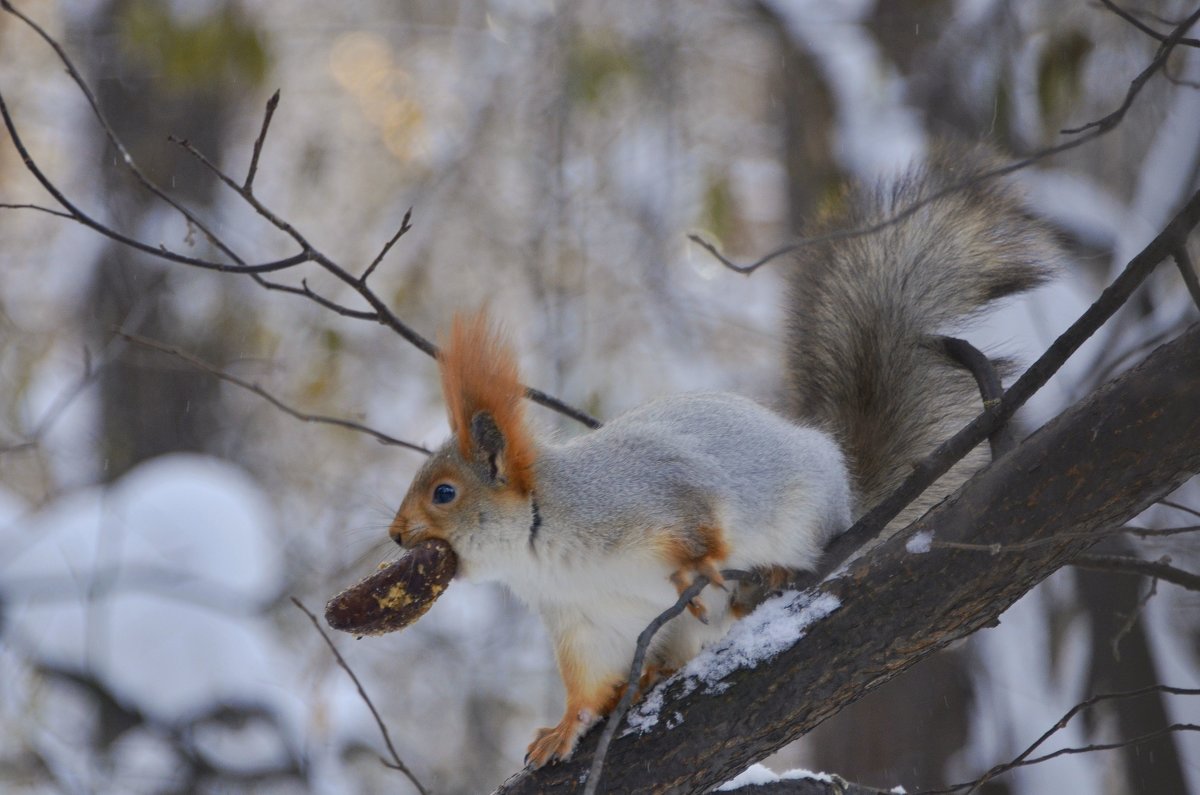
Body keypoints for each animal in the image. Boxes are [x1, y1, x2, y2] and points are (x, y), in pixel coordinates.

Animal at [384, 146, 1051, 768]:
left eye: (444, 493)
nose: (394, 534)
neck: (541, 543)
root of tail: (844, 489)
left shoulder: (646, 493)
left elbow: (697, 523)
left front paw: (691, 569)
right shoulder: (582, 621)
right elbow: (587, 684)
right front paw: (564, 728)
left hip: (799, 519)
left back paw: (768, 577)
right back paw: (651, 676)